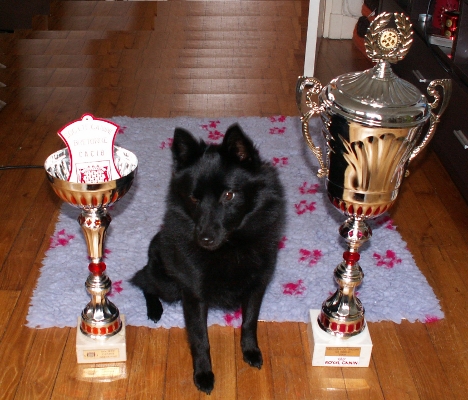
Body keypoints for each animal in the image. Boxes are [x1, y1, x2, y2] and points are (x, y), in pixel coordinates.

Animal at [131, 124, 285, 394]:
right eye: (194, 198)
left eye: (229, 195)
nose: (204, 239)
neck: (231, 246)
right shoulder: (193, 295)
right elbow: (200, 339)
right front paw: (203, 374)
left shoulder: (257, 285)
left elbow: (249, 322)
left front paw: (250, 351)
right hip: (168, 284)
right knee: (143, 281)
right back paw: (154, 309)